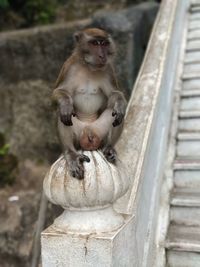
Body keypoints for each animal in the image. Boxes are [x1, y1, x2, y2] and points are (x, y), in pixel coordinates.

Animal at [52, 27, 127, 180]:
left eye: (104, 43)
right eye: (95, 43)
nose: (102, 55)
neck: (88, 67)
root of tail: (88, 134)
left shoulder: (108, 69)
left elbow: (113, 95)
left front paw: (120, 103)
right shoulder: (69, 66)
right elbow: (58, 92)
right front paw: (66, 104)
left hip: (99, 131)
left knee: (115, 114)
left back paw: (109, 147)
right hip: (77, 135)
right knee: (61, 114)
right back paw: (71, 154)